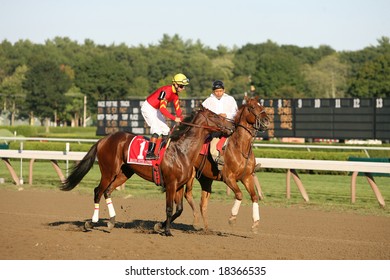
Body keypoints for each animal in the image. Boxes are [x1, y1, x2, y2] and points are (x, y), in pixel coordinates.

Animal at [59, 106, 233, 236]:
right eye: (215, 116)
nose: (231, 127)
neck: (182, 151)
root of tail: (103, 139)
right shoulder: (170, 184)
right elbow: (169, 208)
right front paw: (167, 231)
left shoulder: (179, 185)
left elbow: (179, 210)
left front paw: (159, 226)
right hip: (109, 171)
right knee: (98, 191)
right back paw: (91, 222)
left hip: (124, 173)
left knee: (107, 191)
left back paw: (111, 222)